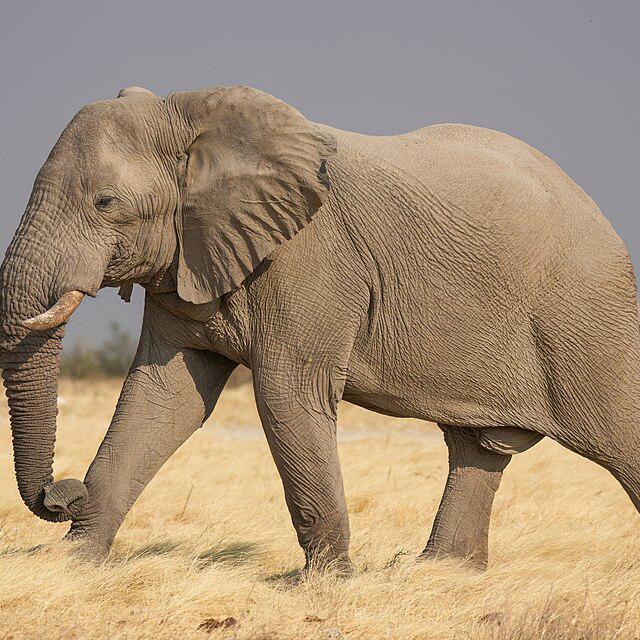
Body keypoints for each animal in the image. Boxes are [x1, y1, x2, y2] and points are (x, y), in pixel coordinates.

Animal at [1, 84, 639, 573]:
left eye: (105, 202)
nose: (62, 493)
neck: (193, 115)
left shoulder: (313, 262)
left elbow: (288, 394)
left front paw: (327, 583)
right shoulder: (189, 256)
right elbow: (163, 398)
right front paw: (73, 566)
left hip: (587, 315)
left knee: (619, 437)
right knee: (476, 448)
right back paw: (440, 575)